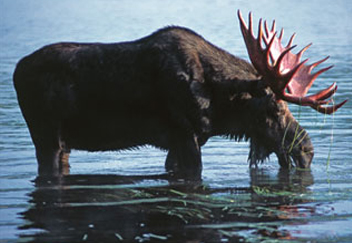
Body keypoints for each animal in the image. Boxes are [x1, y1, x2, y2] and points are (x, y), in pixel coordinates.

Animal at [13, 11, 346, 178]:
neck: (220, 106)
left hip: (62, 142)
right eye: (274, 108)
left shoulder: (181, 140)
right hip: (46, 135)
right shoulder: (186, 134)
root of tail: (16, 72)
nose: (307, 150)